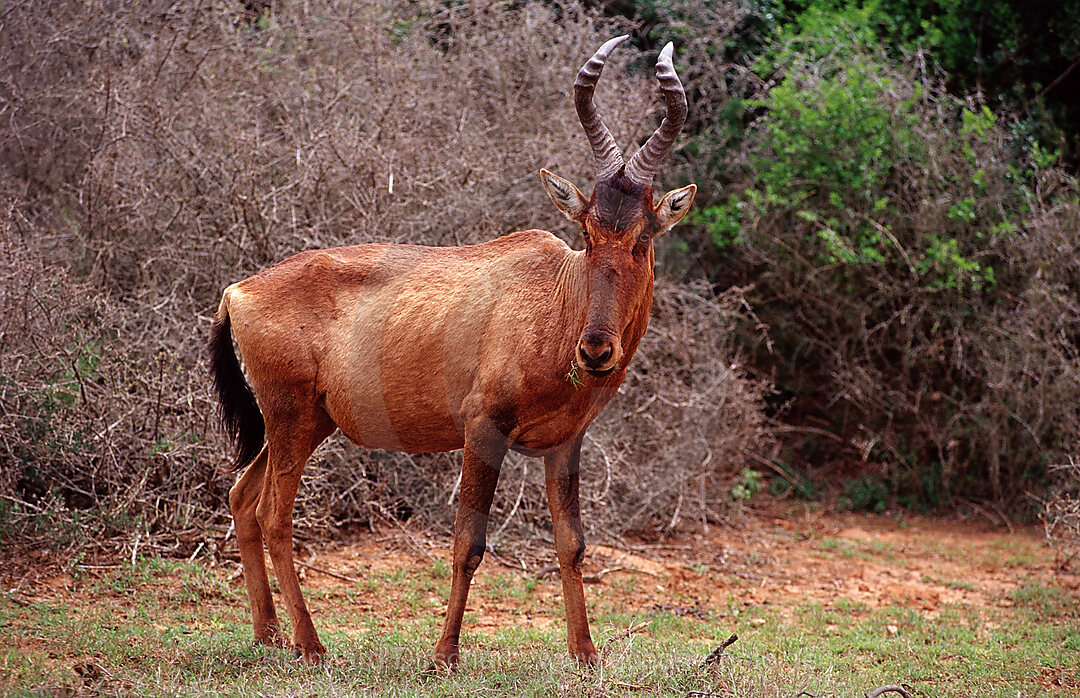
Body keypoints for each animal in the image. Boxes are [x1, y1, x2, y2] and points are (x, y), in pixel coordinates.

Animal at [207, 35, 695, 669]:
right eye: (587, 233)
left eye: (642, 237)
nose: (595, 351)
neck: (554, 293)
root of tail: (238, 291)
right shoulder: (483, 429)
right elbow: (469, 542)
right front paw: (444, 655)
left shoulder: (566, 442)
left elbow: (572, 543)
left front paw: (586, 654)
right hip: (290, 418)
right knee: (274, 515)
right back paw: (310, 647)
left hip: (304, 422)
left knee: (243, 498)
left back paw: (267, 633)